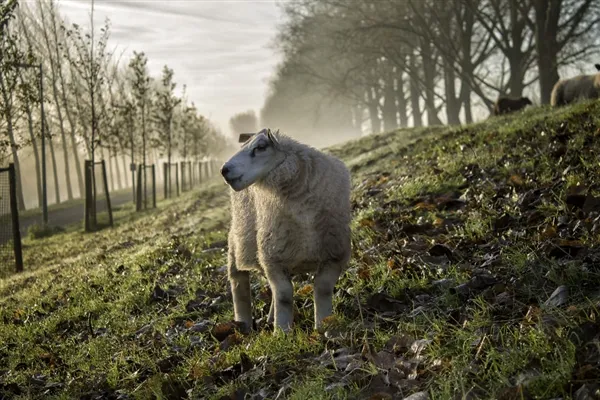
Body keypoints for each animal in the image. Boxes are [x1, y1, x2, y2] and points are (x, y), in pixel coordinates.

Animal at [220, 129, 352, 334]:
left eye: (260, 147)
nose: (224, 170)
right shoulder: (273, 257)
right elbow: (284, 295)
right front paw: (282, 332)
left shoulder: (335, 253)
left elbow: (322, 289)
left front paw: (324, 326)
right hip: (240, 241)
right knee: (239, 284)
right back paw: (244, 324)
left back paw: (269, 318)